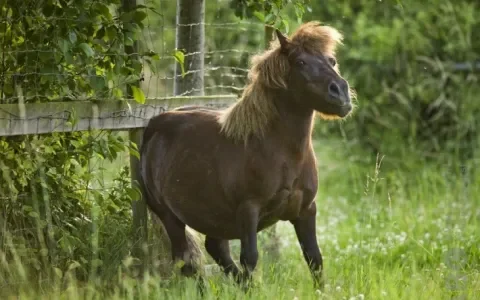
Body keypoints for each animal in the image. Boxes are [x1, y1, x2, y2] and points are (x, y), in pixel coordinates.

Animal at [139, 21, 352, 288]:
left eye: (331, 60)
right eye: (300, 62)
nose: (341, 93)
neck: (279, 151)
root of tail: (153, 127)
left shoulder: (306, 210)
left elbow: (314, 258)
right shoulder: (248, 211)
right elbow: (250, 258)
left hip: (212, 216)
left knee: (215, 249)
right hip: (169, 216)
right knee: (186, 261)